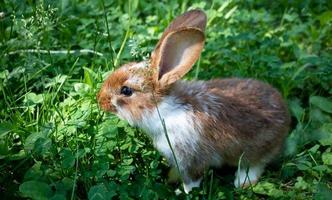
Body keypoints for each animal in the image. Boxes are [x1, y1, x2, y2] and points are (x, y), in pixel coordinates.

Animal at [97, 9, 290, 194]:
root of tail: (285, 115)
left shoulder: (191, 158)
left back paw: (242, 182)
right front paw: (171, 178)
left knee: (255, 164)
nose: (100, 100)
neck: (164, 109)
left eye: (126, 91)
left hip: (256, 149)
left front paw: (183, 193)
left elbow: (192, 181)